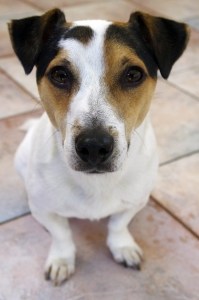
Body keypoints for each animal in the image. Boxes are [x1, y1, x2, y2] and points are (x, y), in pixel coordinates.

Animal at [8, 8, 189, 286]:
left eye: (133, 74)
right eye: (59, 75)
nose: (93, 147)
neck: (96, 182)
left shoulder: (135, 201)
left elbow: (118, 225)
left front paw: (122, 246)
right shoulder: (45, 209)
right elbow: (61, 234)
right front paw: (61, 260)